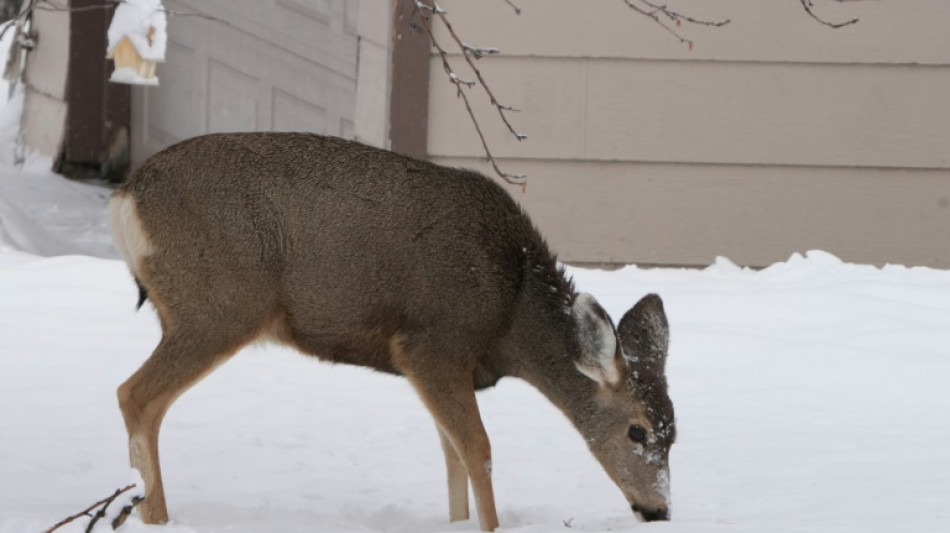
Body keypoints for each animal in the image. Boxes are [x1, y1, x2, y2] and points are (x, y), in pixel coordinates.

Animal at [109, 131, 676, 528]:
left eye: (675, 434)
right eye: (638, 430)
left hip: (195, 311)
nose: (660, 511)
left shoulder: (442, 367)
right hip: (219, 306)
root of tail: (125, 197)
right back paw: (157, 517)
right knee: (135, 394)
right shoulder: (431, 343)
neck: (510, 311)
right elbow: (479, 451)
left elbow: (452, 457)